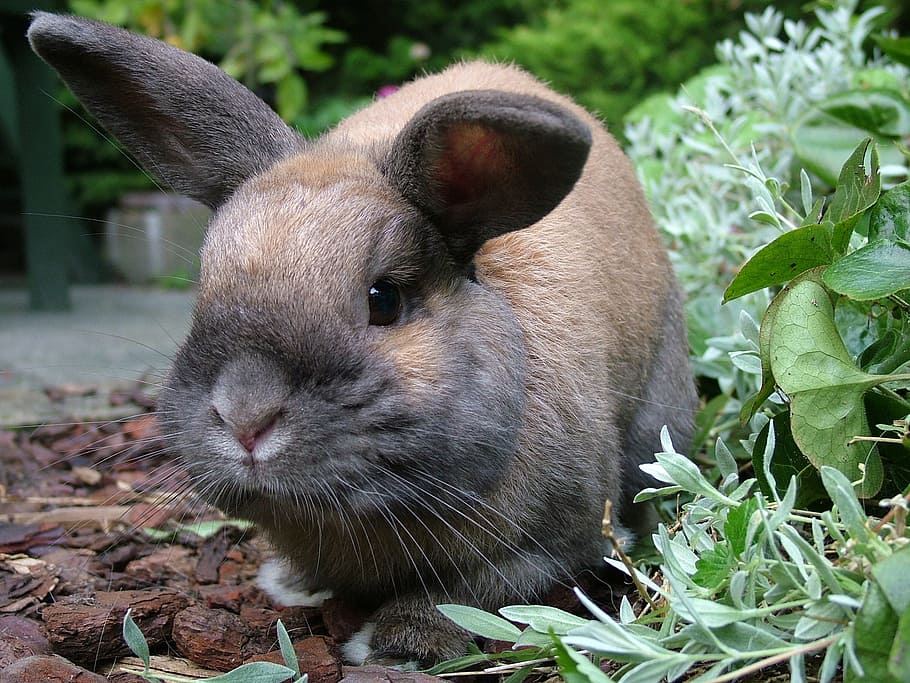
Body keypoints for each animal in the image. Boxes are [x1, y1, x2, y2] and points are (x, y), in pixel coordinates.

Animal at [28, 12, 697, 665]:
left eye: (385, 299)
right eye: (204, 287)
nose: (244, 418)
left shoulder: (556, 542)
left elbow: (467, 592)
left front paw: (395, 643)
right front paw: (291, 585)